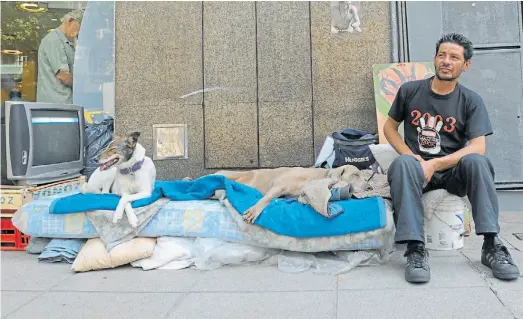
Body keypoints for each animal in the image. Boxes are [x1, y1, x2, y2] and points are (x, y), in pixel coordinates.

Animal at [215, 166, 370, 224]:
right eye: (355, 175)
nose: (370, 187)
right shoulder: (279, 186)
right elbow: (266, 198)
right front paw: (253, 211)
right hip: (229, 175)